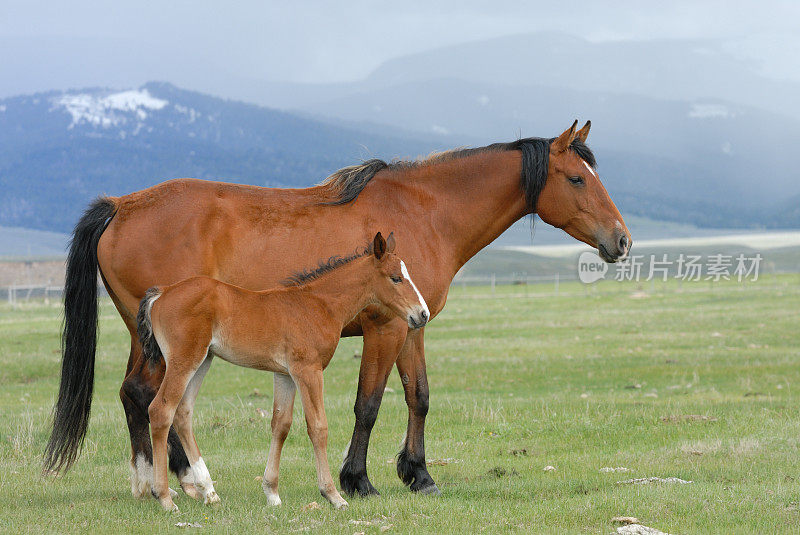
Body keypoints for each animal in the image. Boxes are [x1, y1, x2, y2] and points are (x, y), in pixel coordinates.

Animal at [45, 120, 632, 498]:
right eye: (577, 178)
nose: (622, 241)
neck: (426, 212)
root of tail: (121, 206)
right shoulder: (386, 328)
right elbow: (367, 405)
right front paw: (358, 480)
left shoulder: (414, 327)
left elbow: (419, 397)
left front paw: (419, 475)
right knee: (148, 398)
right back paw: (180, 482)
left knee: (135, 396)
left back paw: (157, 483)